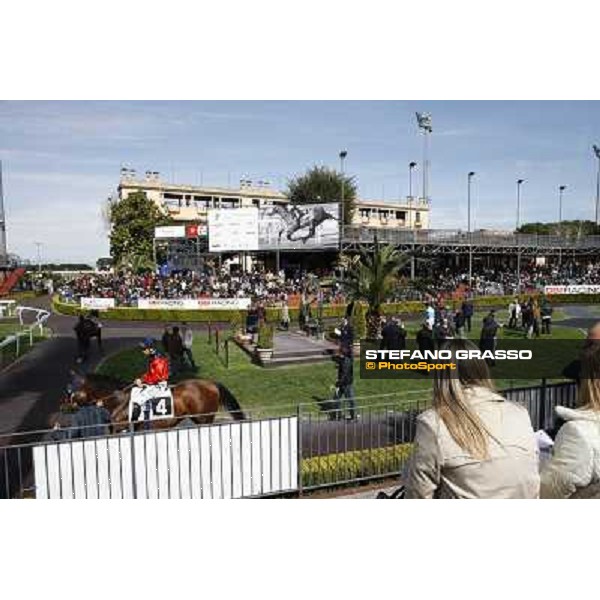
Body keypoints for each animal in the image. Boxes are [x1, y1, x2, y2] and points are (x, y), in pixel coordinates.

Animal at [71, 370, 246, 432]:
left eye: (73, 388)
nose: (69, 402)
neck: (120, 401)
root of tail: (211, 383)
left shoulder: (121, 429)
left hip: (205, 418)